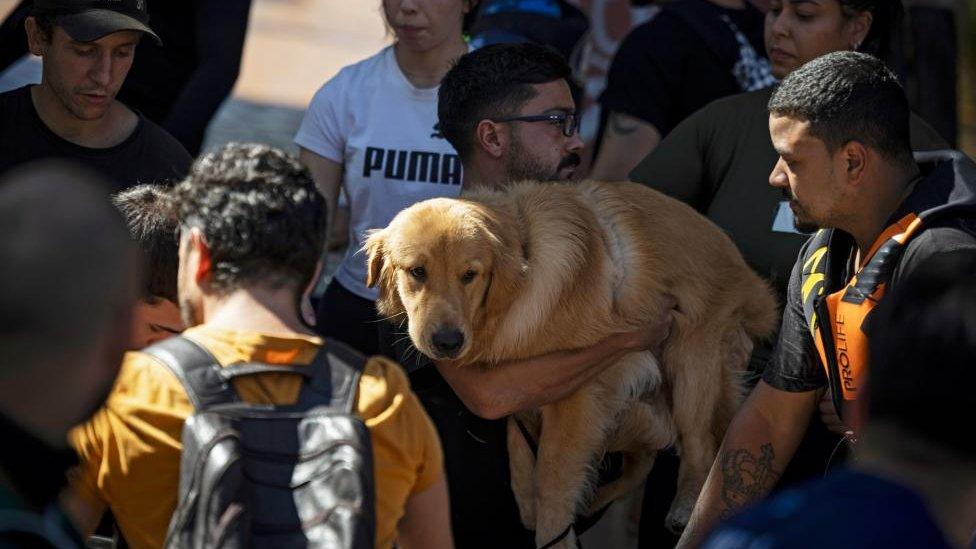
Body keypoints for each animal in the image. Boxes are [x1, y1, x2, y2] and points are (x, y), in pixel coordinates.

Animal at [366, 181, 776, 548]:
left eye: (469, 275)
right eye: (417, 272)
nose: (448, 343)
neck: (523, 266)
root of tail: (748, 275)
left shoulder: (582, 393)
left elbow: (551, 477)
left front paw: (553, 535)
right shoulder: (518, 388)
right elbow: (518, 449)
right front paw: (528, 505)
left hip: (689, 365)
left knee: (700, 446)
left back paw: (686, 507)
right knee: (645, 458)